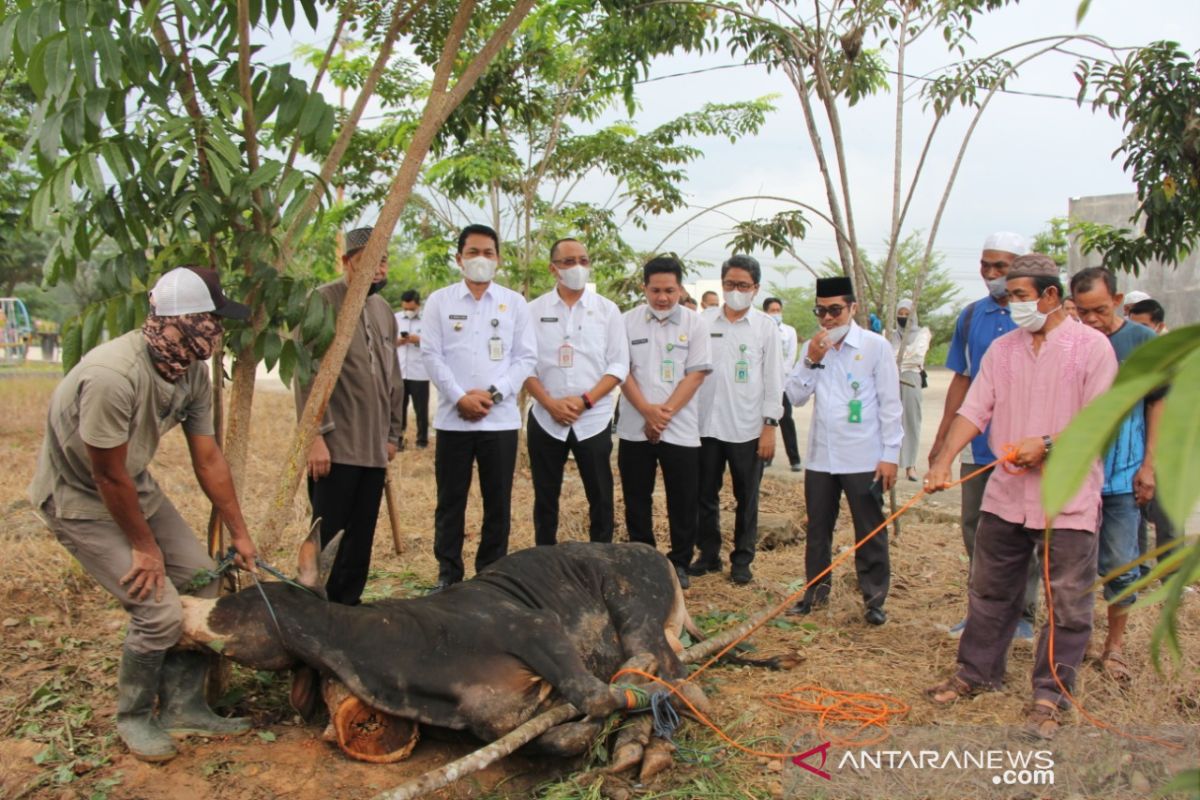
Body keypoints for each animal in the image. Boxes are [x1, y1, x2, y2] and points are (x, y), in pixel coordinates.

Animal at [175, 527, 705, 772]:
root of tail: (651, 551)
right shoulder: (497, 723)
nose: (183, 607)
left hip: (633, 609)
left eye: (236, 602)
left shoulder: (536, 627)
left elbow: (601, 696)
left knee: (679, 680)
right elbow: (561, 737)